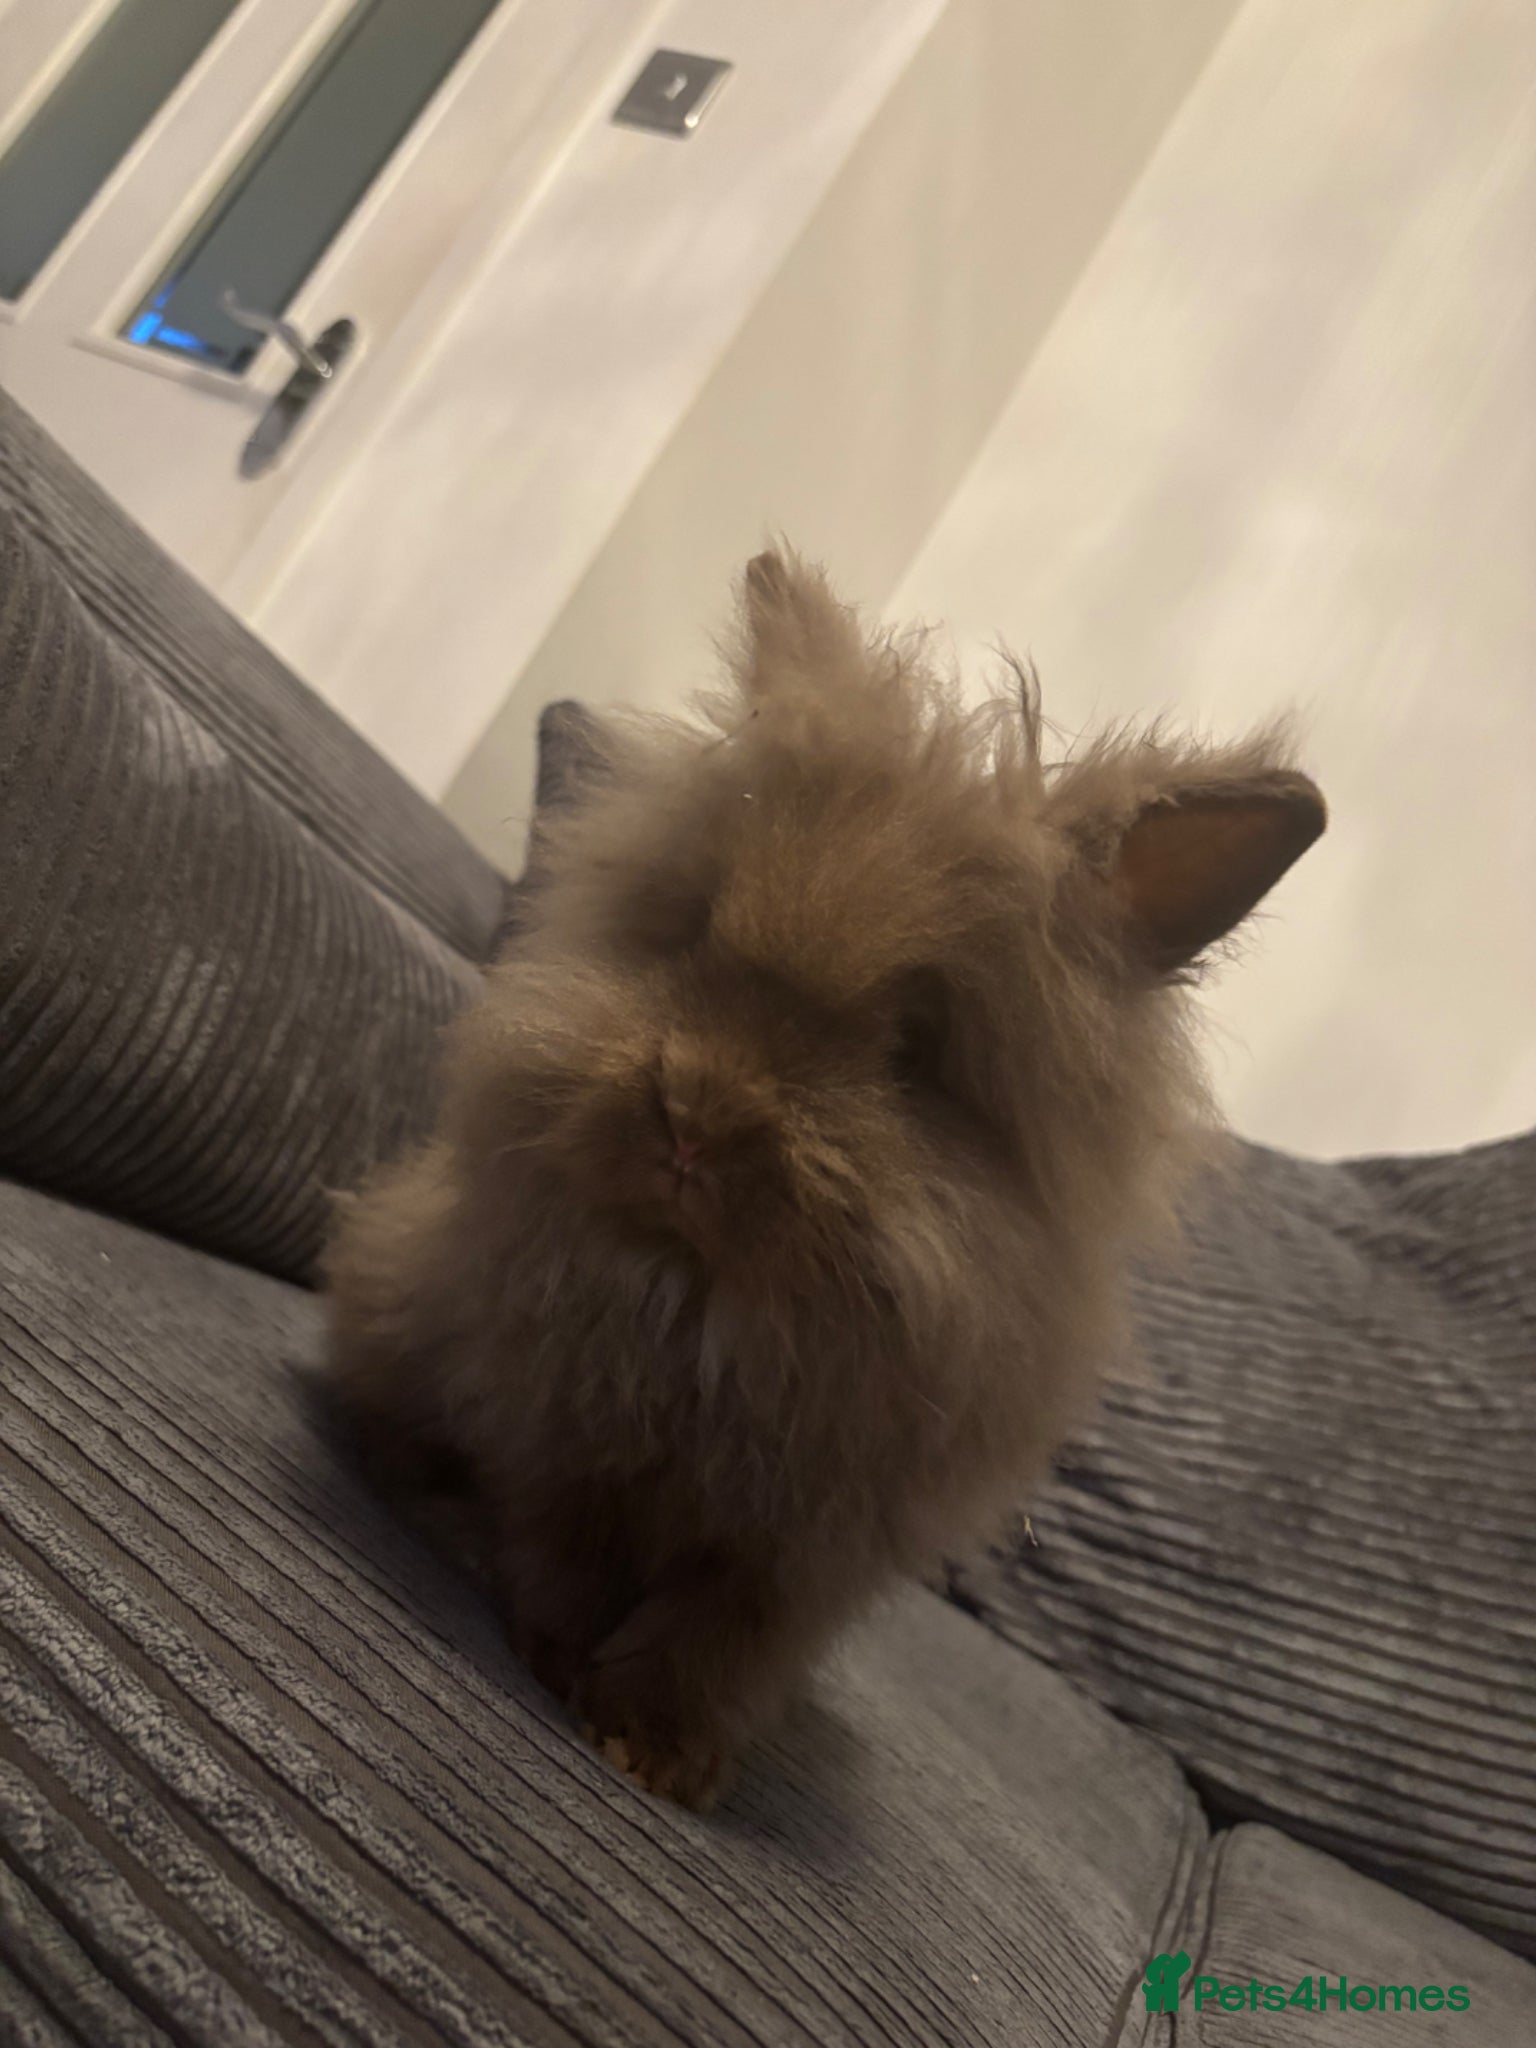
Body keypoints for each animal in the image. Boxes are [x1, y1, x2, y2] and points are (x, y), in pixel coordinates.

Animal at [323, 548, 1325, 1809]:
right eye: (694, 930)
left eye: (913, 1050)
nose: (696, 1114)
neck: (714, 1301)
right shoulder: (556, 1429)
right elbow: (562, 1550)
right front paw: (552, 1659)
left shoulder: (803, 1551)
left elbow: (717, 1638)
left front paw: (656, 1752)